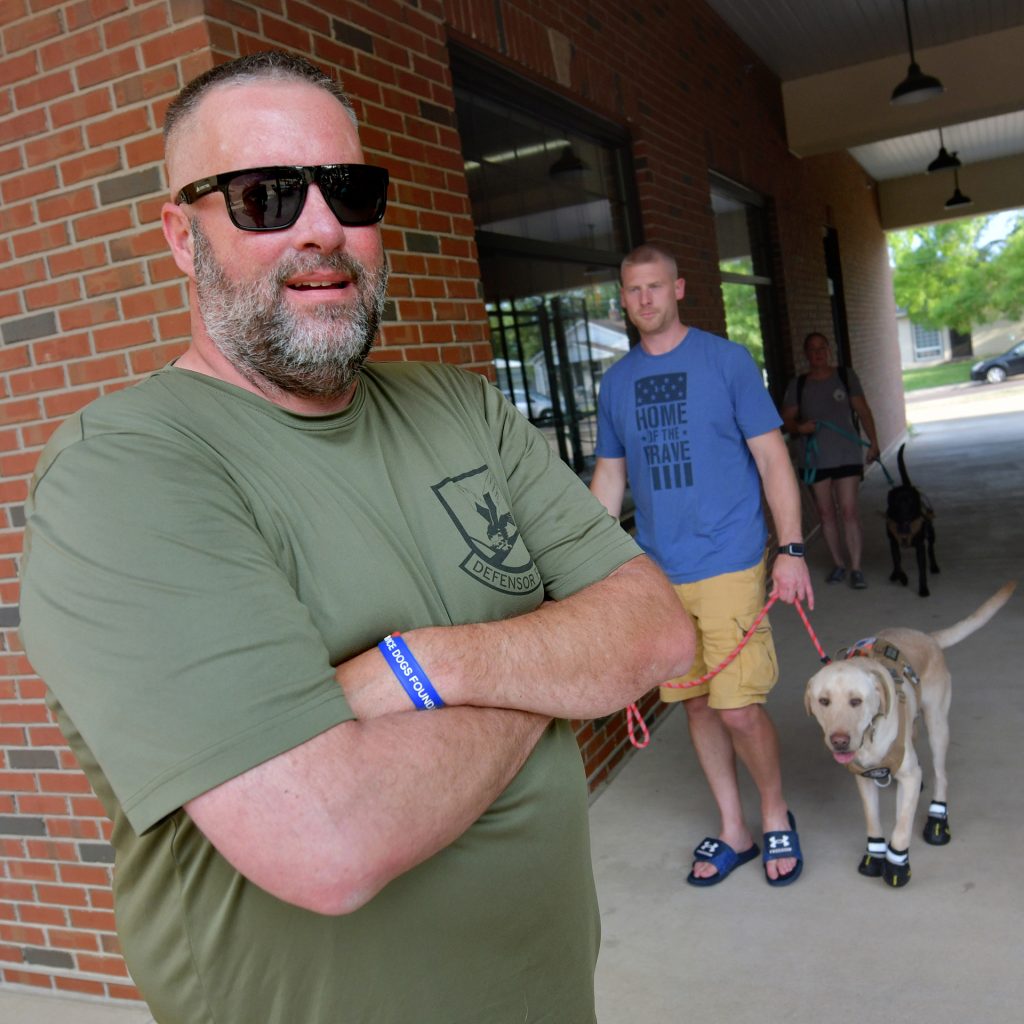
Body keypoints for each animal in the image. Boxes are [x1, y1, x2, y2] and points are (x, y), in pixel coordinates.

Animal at [806, 585, 1015, 888]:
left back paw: (938, 817)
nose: (840, 741)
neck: (871, 736)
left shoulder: (908, 776)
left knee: (941, 775)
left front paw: (897, 864)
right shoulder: (864, 779)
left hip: (938, 724)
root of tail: (927, 636)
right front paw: (875, 855)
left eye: (856, 701)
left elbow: (902, 826)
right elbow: (873, 820)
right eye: (823, 701)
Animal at [884, 442, 937, 598]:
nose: (904, 515)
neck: (904, 526)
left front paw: (923, 589)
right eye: (896, 502)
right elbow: (897, 564)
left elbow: (922, 571)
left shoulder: (919, 546)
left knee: (931, 548)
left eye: (910, 501)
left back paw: (934, 566)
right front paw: (901, 577)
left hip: (930, 532)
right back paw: (894, 575)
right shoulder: (893, 543)